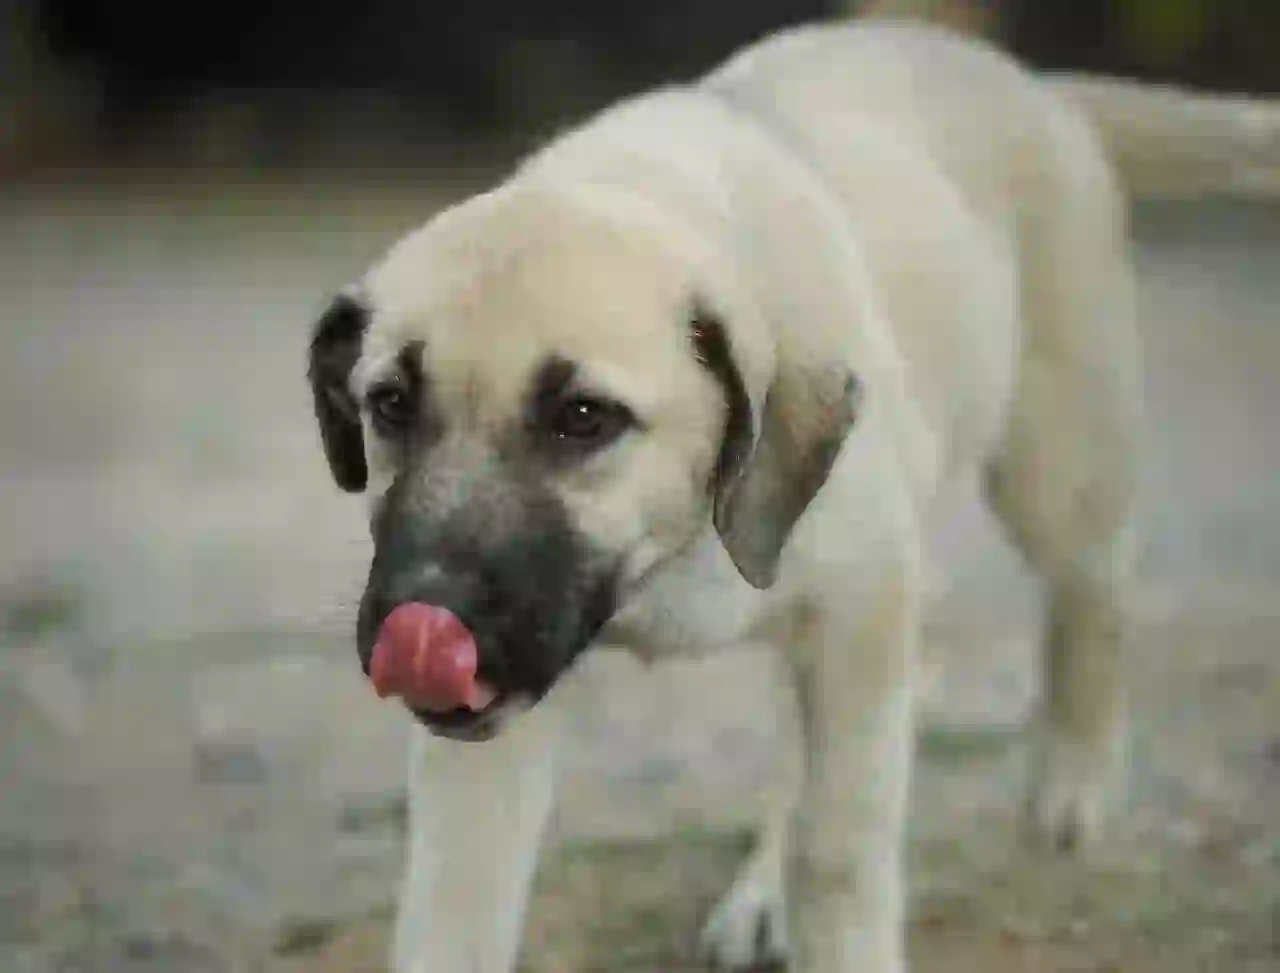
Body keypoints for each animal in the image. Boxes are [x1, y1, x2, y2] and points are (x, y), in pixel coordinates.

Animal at [309, 17, 1280, 973]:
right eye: (389, 404)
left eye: (584, 417)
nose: (425, 615)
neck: (677, 546)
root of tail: (1028, 83)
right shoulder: (497, 729)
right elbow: (457, 903)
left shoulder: (862, 612)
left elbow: (840, 851)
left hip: (1057, 468)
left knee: (1094, 600)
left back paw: (1074, 782)